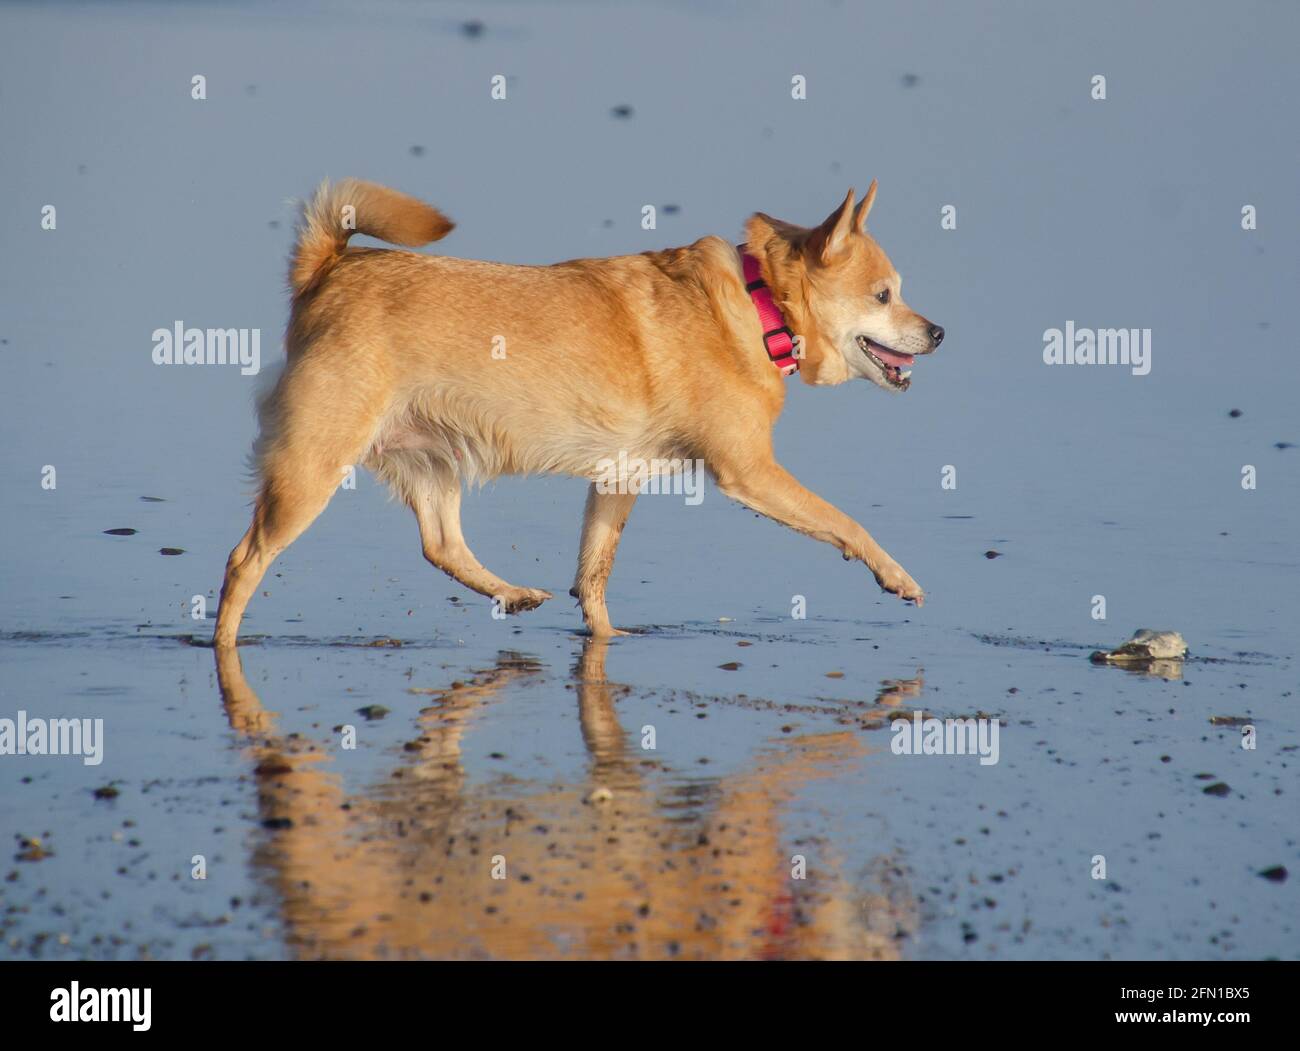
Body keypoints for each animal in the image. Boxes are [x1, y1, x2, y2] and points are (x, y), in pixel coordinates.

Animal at [213, 176, 946, 645]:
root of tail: (327, 268)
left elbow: (593, 573)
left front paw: (606, 636)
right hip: (312, 469)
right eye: (884, 296)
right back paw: (223, 643)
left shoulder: (617, 480)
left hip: (431, 461)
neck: (758, 301)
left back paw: (511, 592)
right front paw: (897, 575)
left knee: (441, 544)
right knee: (244, 561)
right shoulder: (751, 473)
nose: (938, 332)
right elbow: (843, 520)